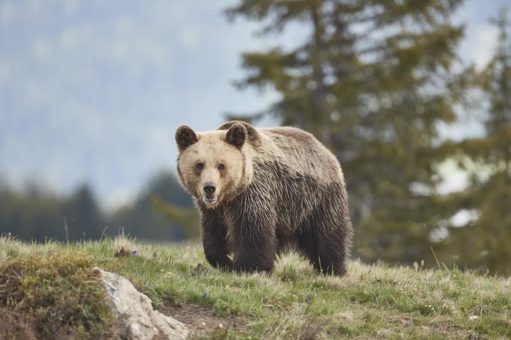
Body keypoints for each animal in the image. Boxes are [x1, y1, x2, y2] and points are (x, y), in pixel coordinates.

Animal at [174, 121, 354, 274]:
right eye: (199, 165)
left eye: (221, 166)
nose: (209, 188)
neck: (231, 195)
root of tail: (326, 151)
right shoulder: (214, 211)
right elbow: (213, 236)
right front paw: (224, 261)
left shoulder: (253, 195)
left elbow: (253, 232)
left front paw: (246, 267)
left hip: (316, 200)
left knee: (327, 235)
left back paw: (333, 269)